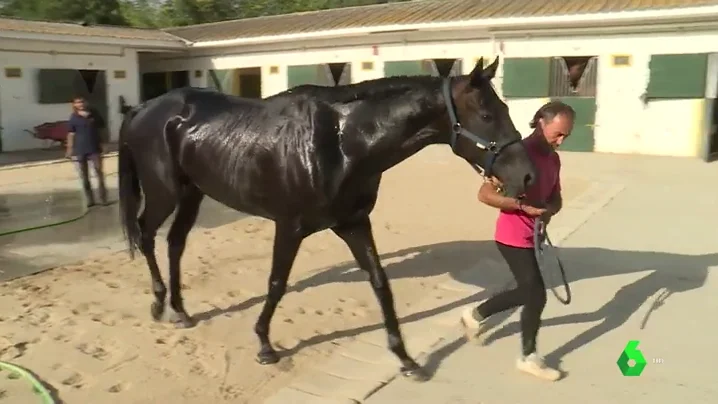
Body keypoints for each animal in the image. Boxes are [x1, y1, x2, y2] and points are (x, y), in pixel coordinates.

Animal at [116, 56, 536, 378]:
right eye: (487, 114)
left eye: (506, 109)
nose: (528, 176)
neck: (338, 142)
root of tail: (143, 109)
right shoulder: (289, 226)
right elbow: (276, 284)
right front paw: (265, 344)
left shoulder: (353, 224)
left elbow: (380, 282)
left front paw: (405, 358)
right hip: (164, 192)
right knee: (147, 234)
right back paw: (159, 304)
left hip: (192, 193)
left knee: (175, 243)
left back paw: (181, 311)